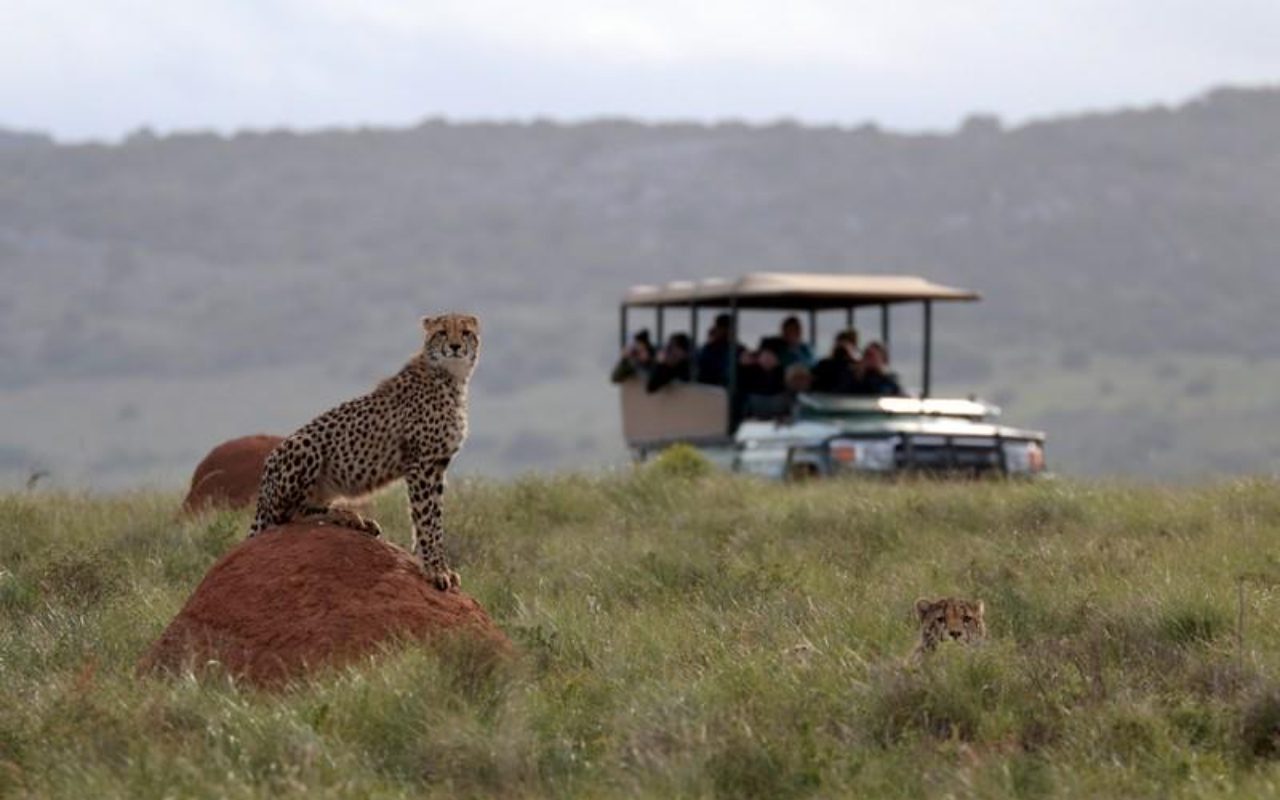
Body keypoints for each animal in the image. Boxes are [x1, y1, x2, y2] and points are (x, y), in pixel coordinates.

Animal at [247, 312, 478, 586]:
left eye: (465, 332)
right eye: (442, 332)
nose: (455, 347)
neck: (451, 379)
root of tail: (262, 490)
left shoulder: (437, 465)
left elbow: (433, 518)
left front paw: (432, 562)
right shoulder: (421, 464)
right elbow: (426, 519)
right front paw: (435, 569)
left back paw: (358, 521)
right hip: (305, 444)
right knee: (289, 516)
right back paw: (345, 515)